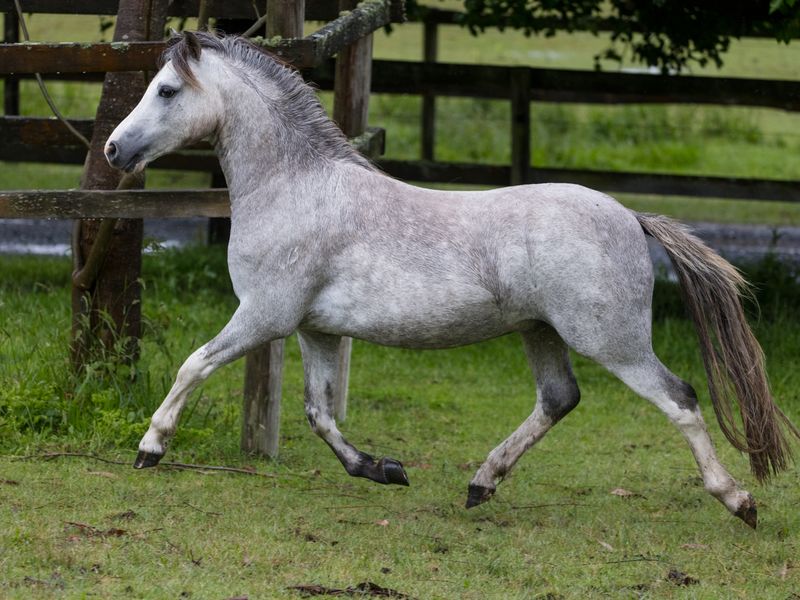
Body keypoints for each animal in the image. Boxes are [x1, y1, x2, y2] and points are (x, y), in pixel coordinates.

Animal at [105, 31, 798, 528]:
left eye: (167, 90)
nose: (113, 150)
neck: (294, 187)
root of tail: (631, 216)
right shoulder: (314, 330)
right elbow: (320, 414)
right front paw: (383, 469)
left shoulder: (263, 316)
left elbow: (194, 365)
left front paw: (150, 448)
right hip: (540, 332)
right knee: (559, 399)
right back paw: (479, 485)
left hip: (613, 342)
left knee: (680, 399)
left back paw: (739, 501)